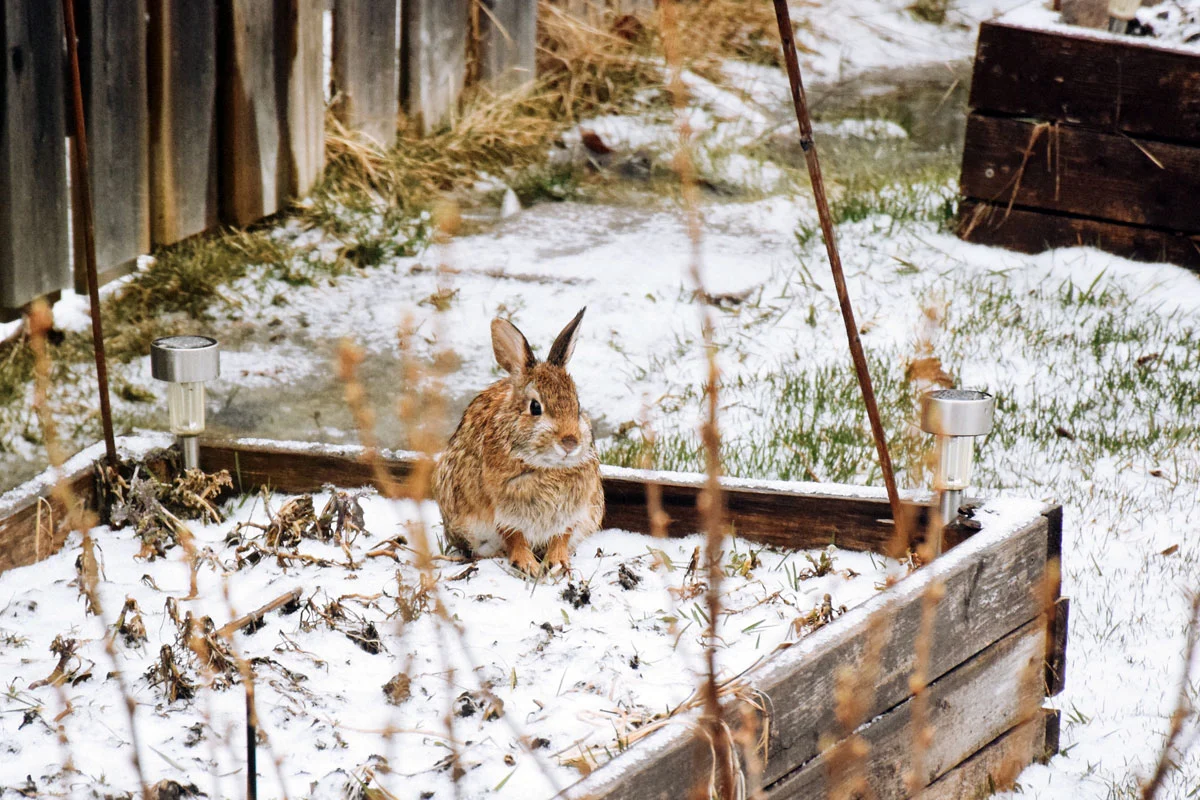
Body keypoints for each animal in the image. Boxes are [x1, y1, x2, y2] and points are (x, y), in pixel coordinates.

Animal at [434, 307, 604, 575]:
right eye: (535, 407)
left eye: (577, 407)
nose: (570, 442)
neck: (547, 467)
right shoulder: (502, 512)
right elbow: (515, 536)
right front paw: (527, 566)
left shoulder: (573, 512)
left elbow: (561, 536)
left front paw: (558, 563)